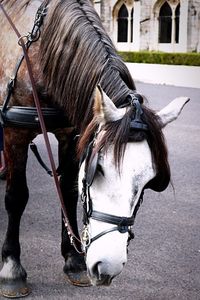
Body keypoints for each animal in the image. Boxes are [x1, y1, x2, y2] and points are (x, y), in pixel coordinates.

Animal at [0, 0, 189, 298]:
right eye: (98, 169)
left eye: (150, 181)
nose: (107, 267)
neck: (41, 53)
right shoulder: (14, 131)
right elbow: (16, 198)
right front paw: (11, 268)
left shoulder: (70, 133)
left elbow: (67, 192)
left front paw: (73, 260)